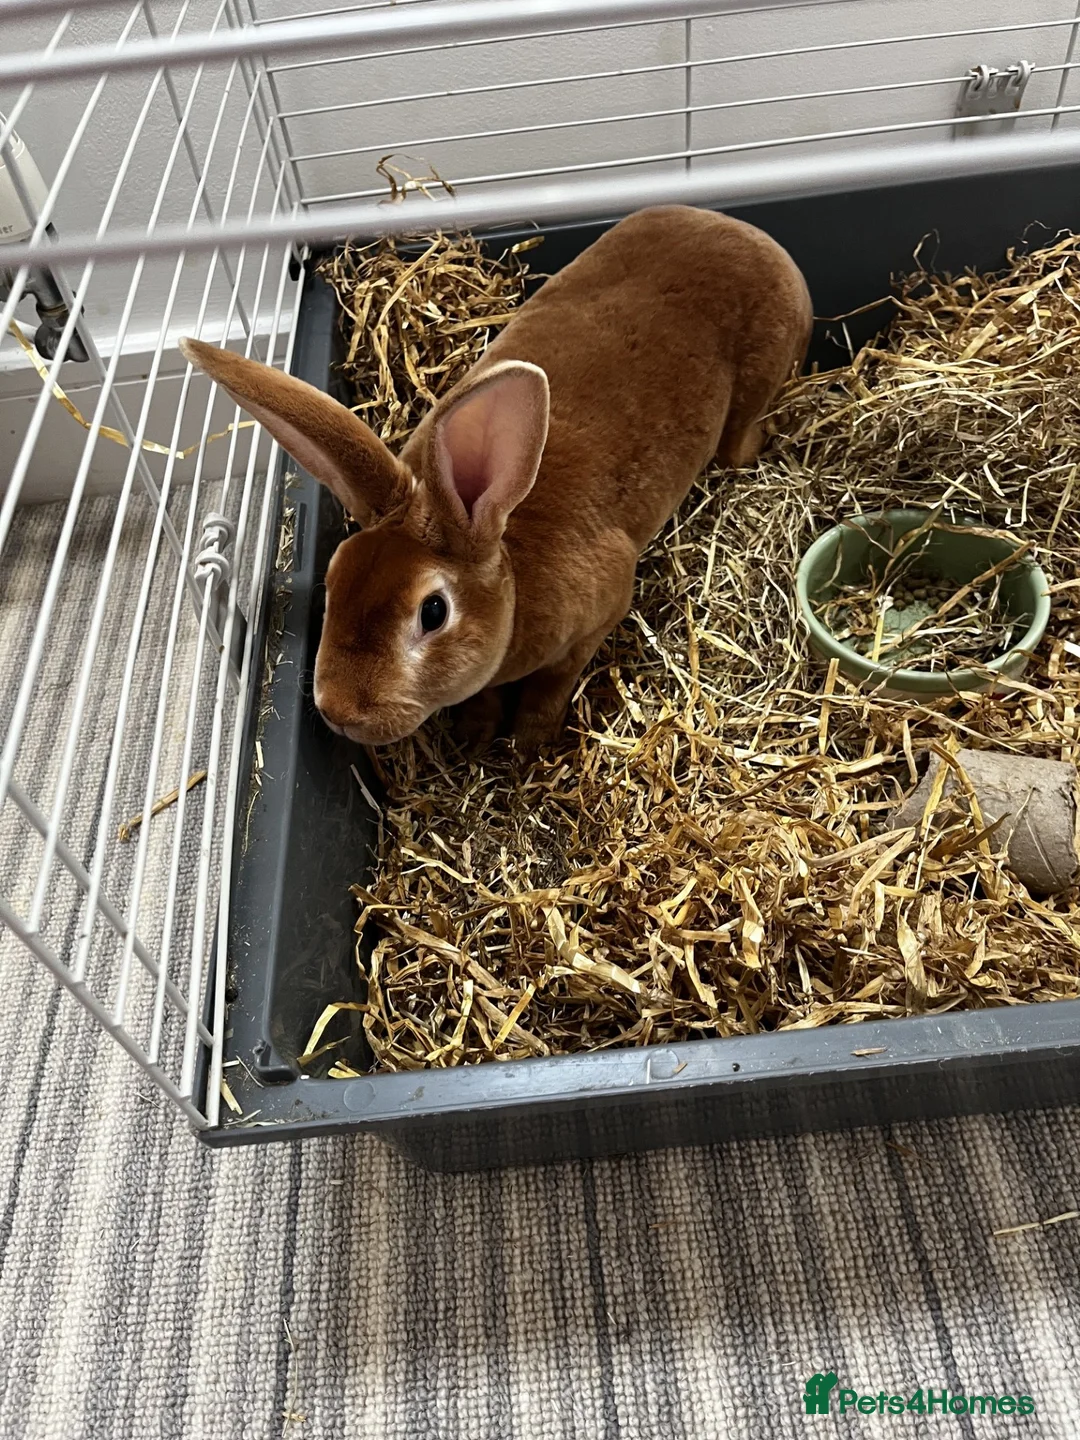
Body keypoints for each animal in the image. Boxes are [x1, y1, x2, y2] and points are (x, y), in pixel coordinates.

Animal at [180, 204, 812, 754]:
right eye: (334, 580)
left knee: (741, 438)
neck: (509, 563)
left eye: (433, 612)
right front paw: (475, 734)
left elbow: (551, 686)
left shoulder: (599, 615)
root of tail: (740, 229)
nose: (339, 713)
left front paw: (529, 742)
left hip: (756, 385)